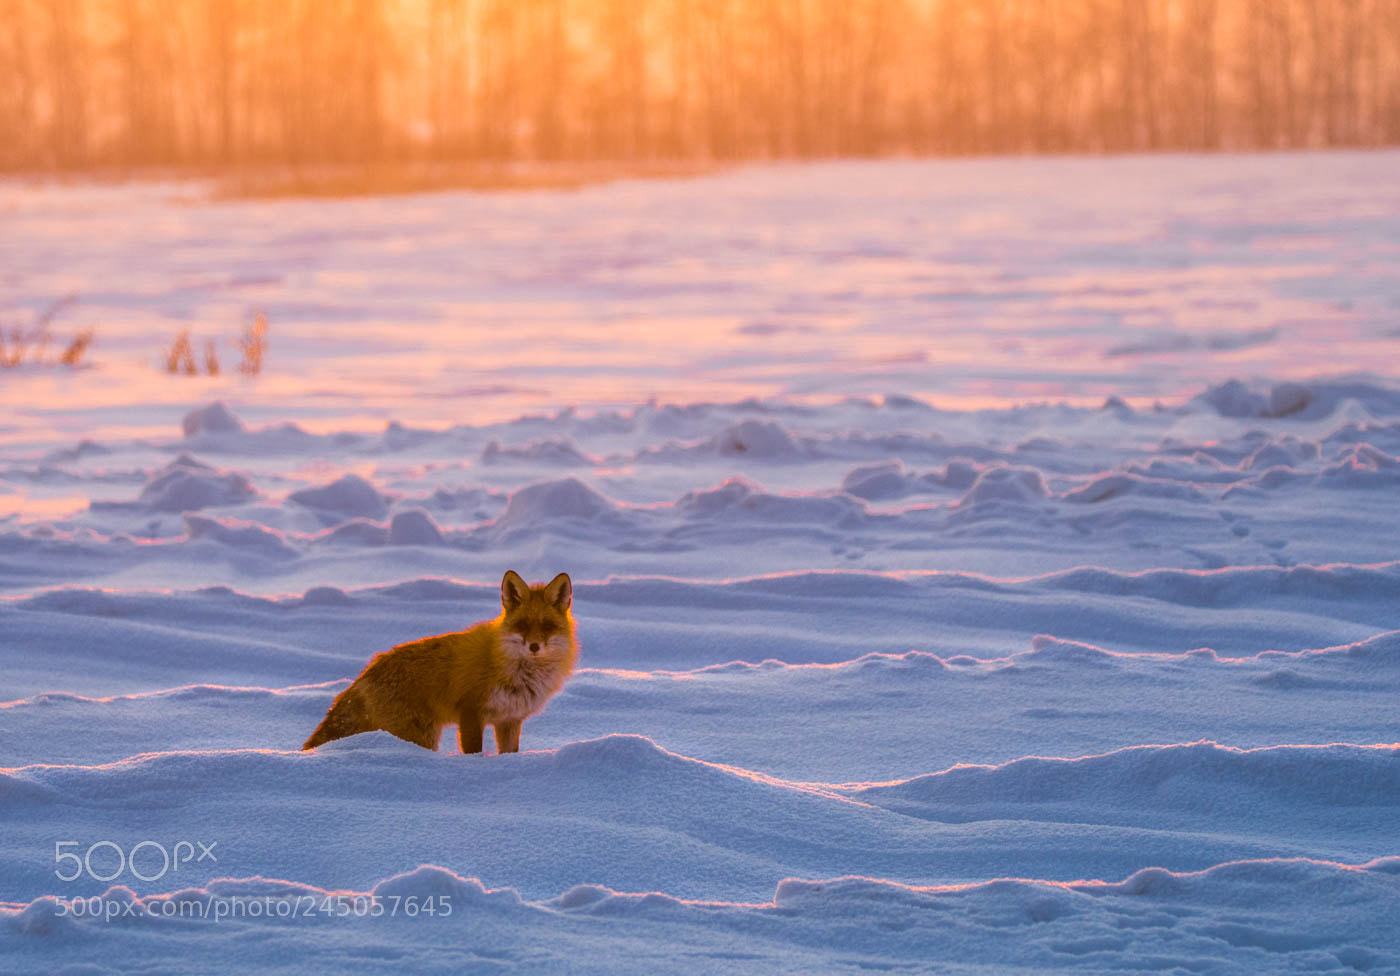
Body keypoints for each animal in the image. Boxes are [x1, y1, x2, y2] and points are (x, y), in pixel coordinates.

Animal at [302, 570, 577, 754]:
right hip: (421, 734)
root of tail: (366, 672)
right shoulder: (470, 712)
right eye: (522, 625)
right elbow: (474, 751)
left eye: (547, 626)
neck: (516, 671)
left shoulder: (510, 719)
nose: (534, 647)